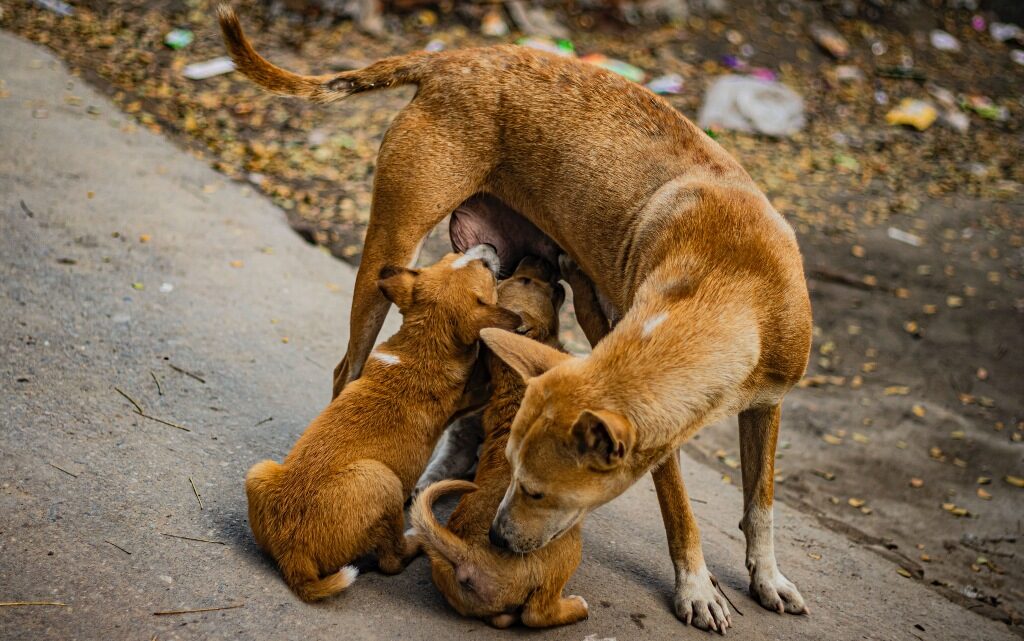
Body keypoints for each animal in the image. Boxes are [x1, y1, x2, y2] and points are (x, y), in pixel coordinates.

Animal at [243, 245, 520, 597]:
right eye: (485, 267)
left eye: (448, 257)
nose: (491, 248)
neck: (421, 344)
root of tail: (293, 556)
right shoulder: (475, 395)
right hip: (383, 480)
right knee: (391, 561)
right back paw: (415, 540)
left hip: (258, 471)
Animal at [407, 252, 585, 622]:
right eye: (526, 281)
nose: (534, 255)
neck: (510, 377)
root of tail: (467, 555)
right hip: (565, 546)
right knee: (538, 613)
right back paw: (575, 607)